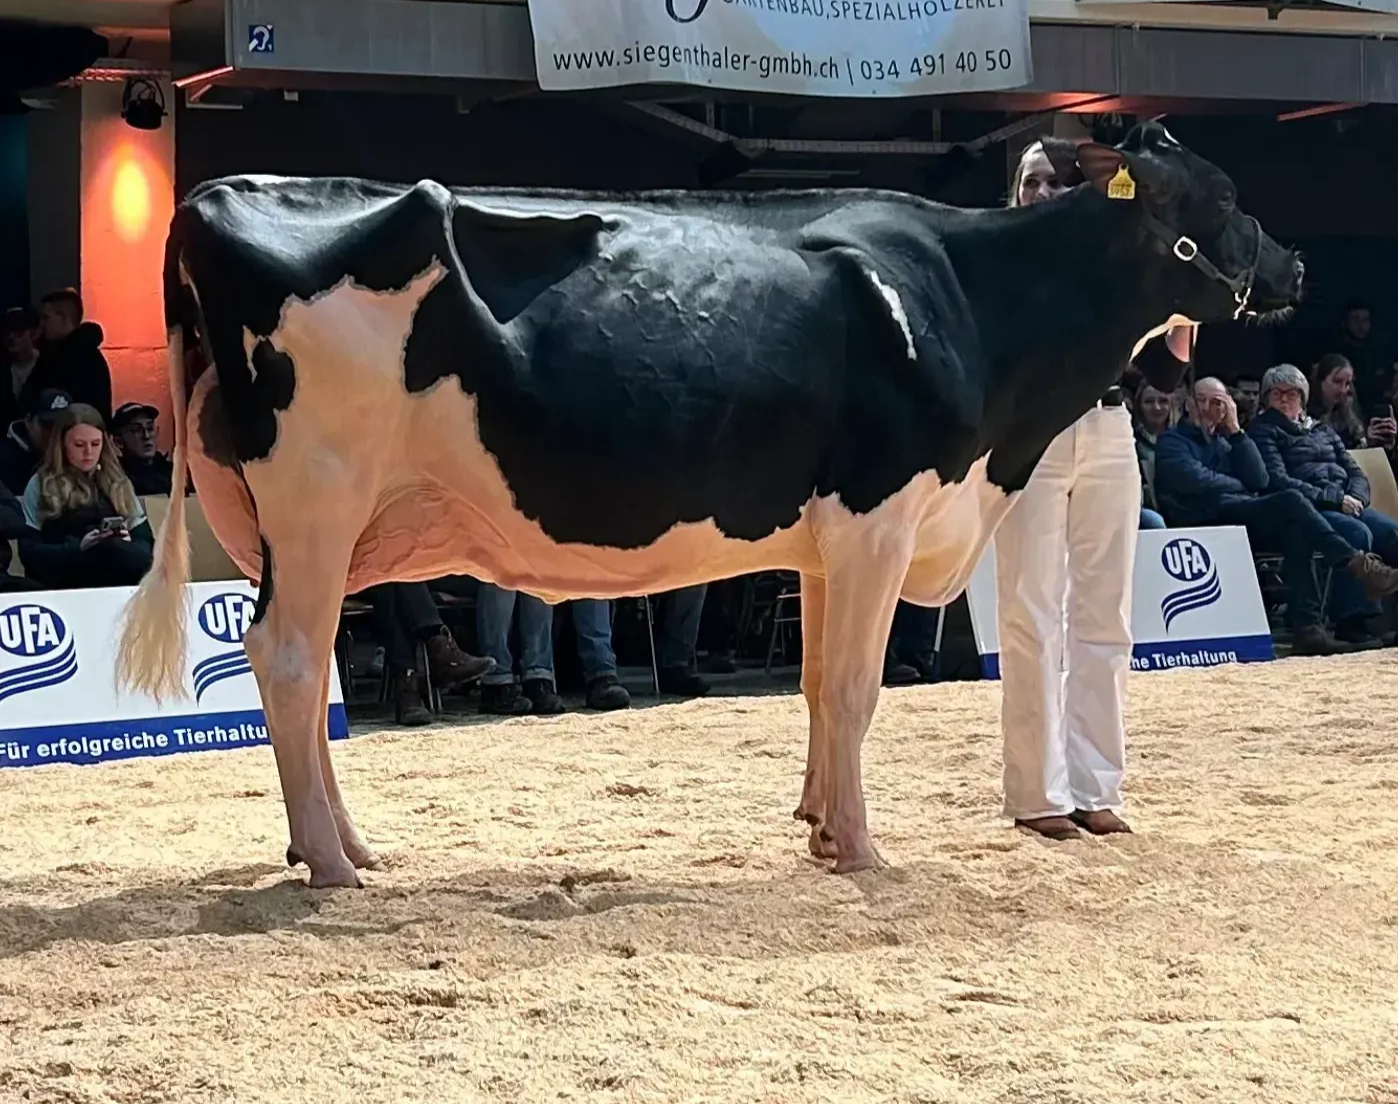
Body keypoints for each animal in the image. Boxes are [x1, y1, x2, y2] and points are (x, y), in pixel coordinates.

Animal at [115, 121, 1302, 889]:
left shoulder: (828, 543)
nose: (1291, 265)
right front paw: (863, 852)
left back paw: (348, 845)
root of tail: (217, 194)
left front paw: (820, 827)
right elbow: (857, 691)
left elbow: (819, 689)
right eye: (1223, 201)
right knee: (288, 660)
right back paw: (329, 863)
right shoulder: (878, 516)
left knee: (306, 667)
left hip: (314, 521)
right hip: (317, 497)